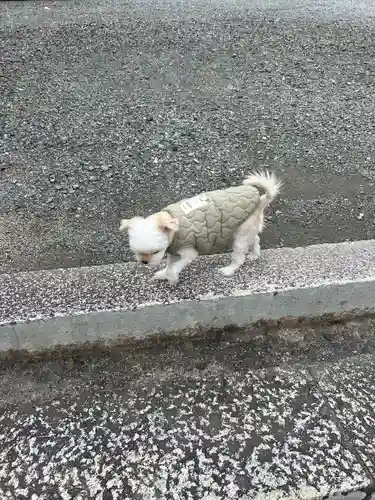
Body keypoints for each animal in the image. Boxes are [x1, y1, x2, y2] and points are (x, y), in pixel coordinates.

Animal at [119, 171, 280, 286]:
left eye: (155, 252)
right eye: (137, 252)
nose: (144, 262)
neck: (172, 222)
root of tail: (261, 201)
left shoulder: (188, 252)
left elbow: (175, 267)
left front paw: (172, 278)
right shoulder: (173, 251)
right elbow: (170, 265)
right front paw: (164, 274)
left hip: (240, 236)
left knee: (240, 257)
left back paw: (229, 270)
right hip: (245, 230)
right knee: (256, 238)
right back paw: (254, 254)